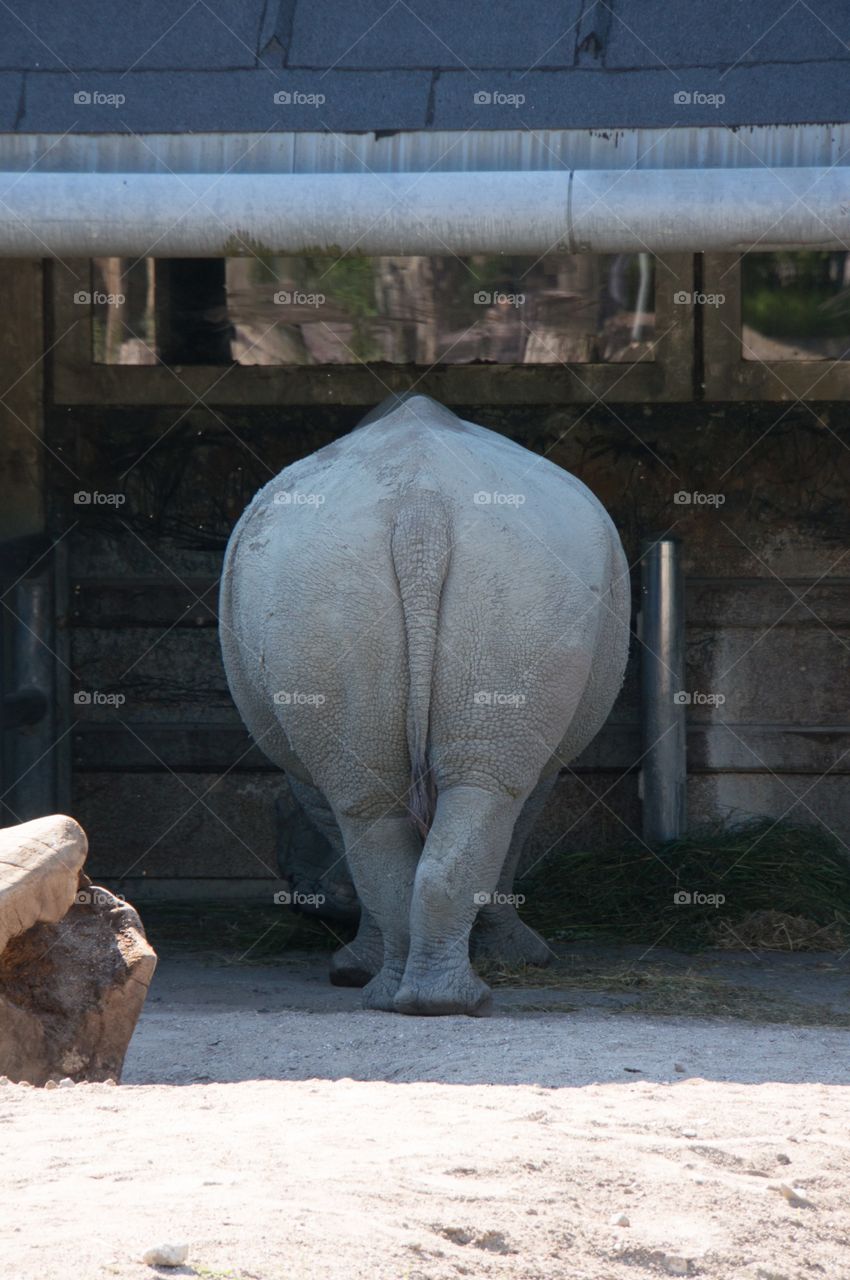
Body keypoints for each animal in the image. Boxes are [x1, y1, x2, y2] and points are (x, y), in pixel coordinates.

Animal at [219, 394, 629, 1016]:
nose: (305, 900)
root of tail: (421, 509)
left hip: (341, 587)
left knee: (393, 802)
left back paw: (411, 998)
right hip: (485, 582)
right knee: (467, 792)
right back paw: (441, 999)